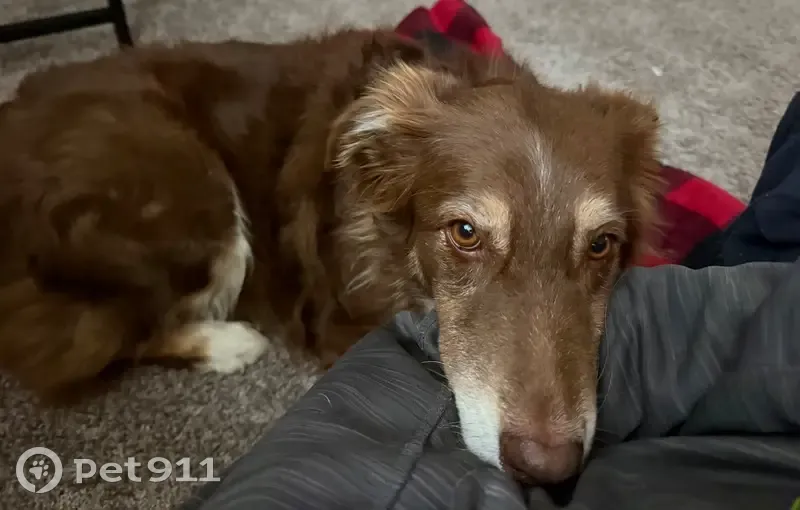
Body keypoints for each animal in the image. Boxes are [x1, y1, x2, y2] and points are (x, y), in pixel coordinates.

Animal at [0, 29, 661, 484]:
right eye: (466, 233)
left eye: (601, 244)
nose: (547, 466)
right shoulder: (341, 324)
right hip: (191, 187)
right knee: (94, 340)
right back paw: (226, 342)